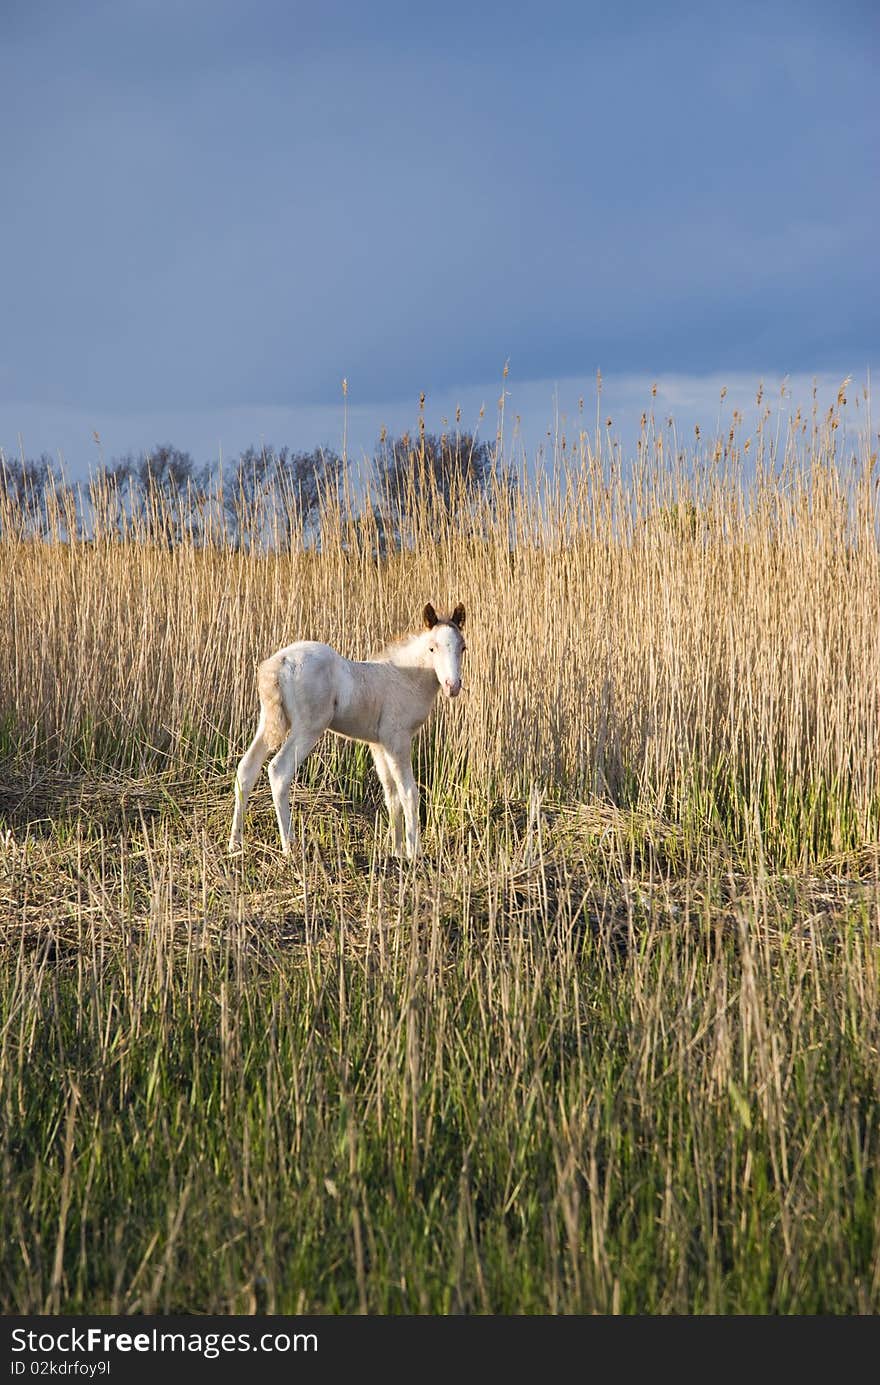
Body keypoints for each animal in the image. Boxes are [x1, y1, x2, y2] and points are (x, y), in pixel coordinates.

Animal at [230, 601, 471, 858]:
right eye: (432, 648)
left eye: (463, 647)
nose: (453, 686)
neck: (406, 677)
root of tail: (280, 661)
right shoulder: (398, 740)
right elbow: (409, 794)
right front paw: (414, 854)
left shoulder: (379, 744)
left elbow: (392, 795)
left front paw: (396, 852)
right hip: (308, 727)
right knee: (279, 771)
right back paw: (290, 848)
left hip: (270, 721)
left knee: (247, 768)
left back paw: (235, 844)